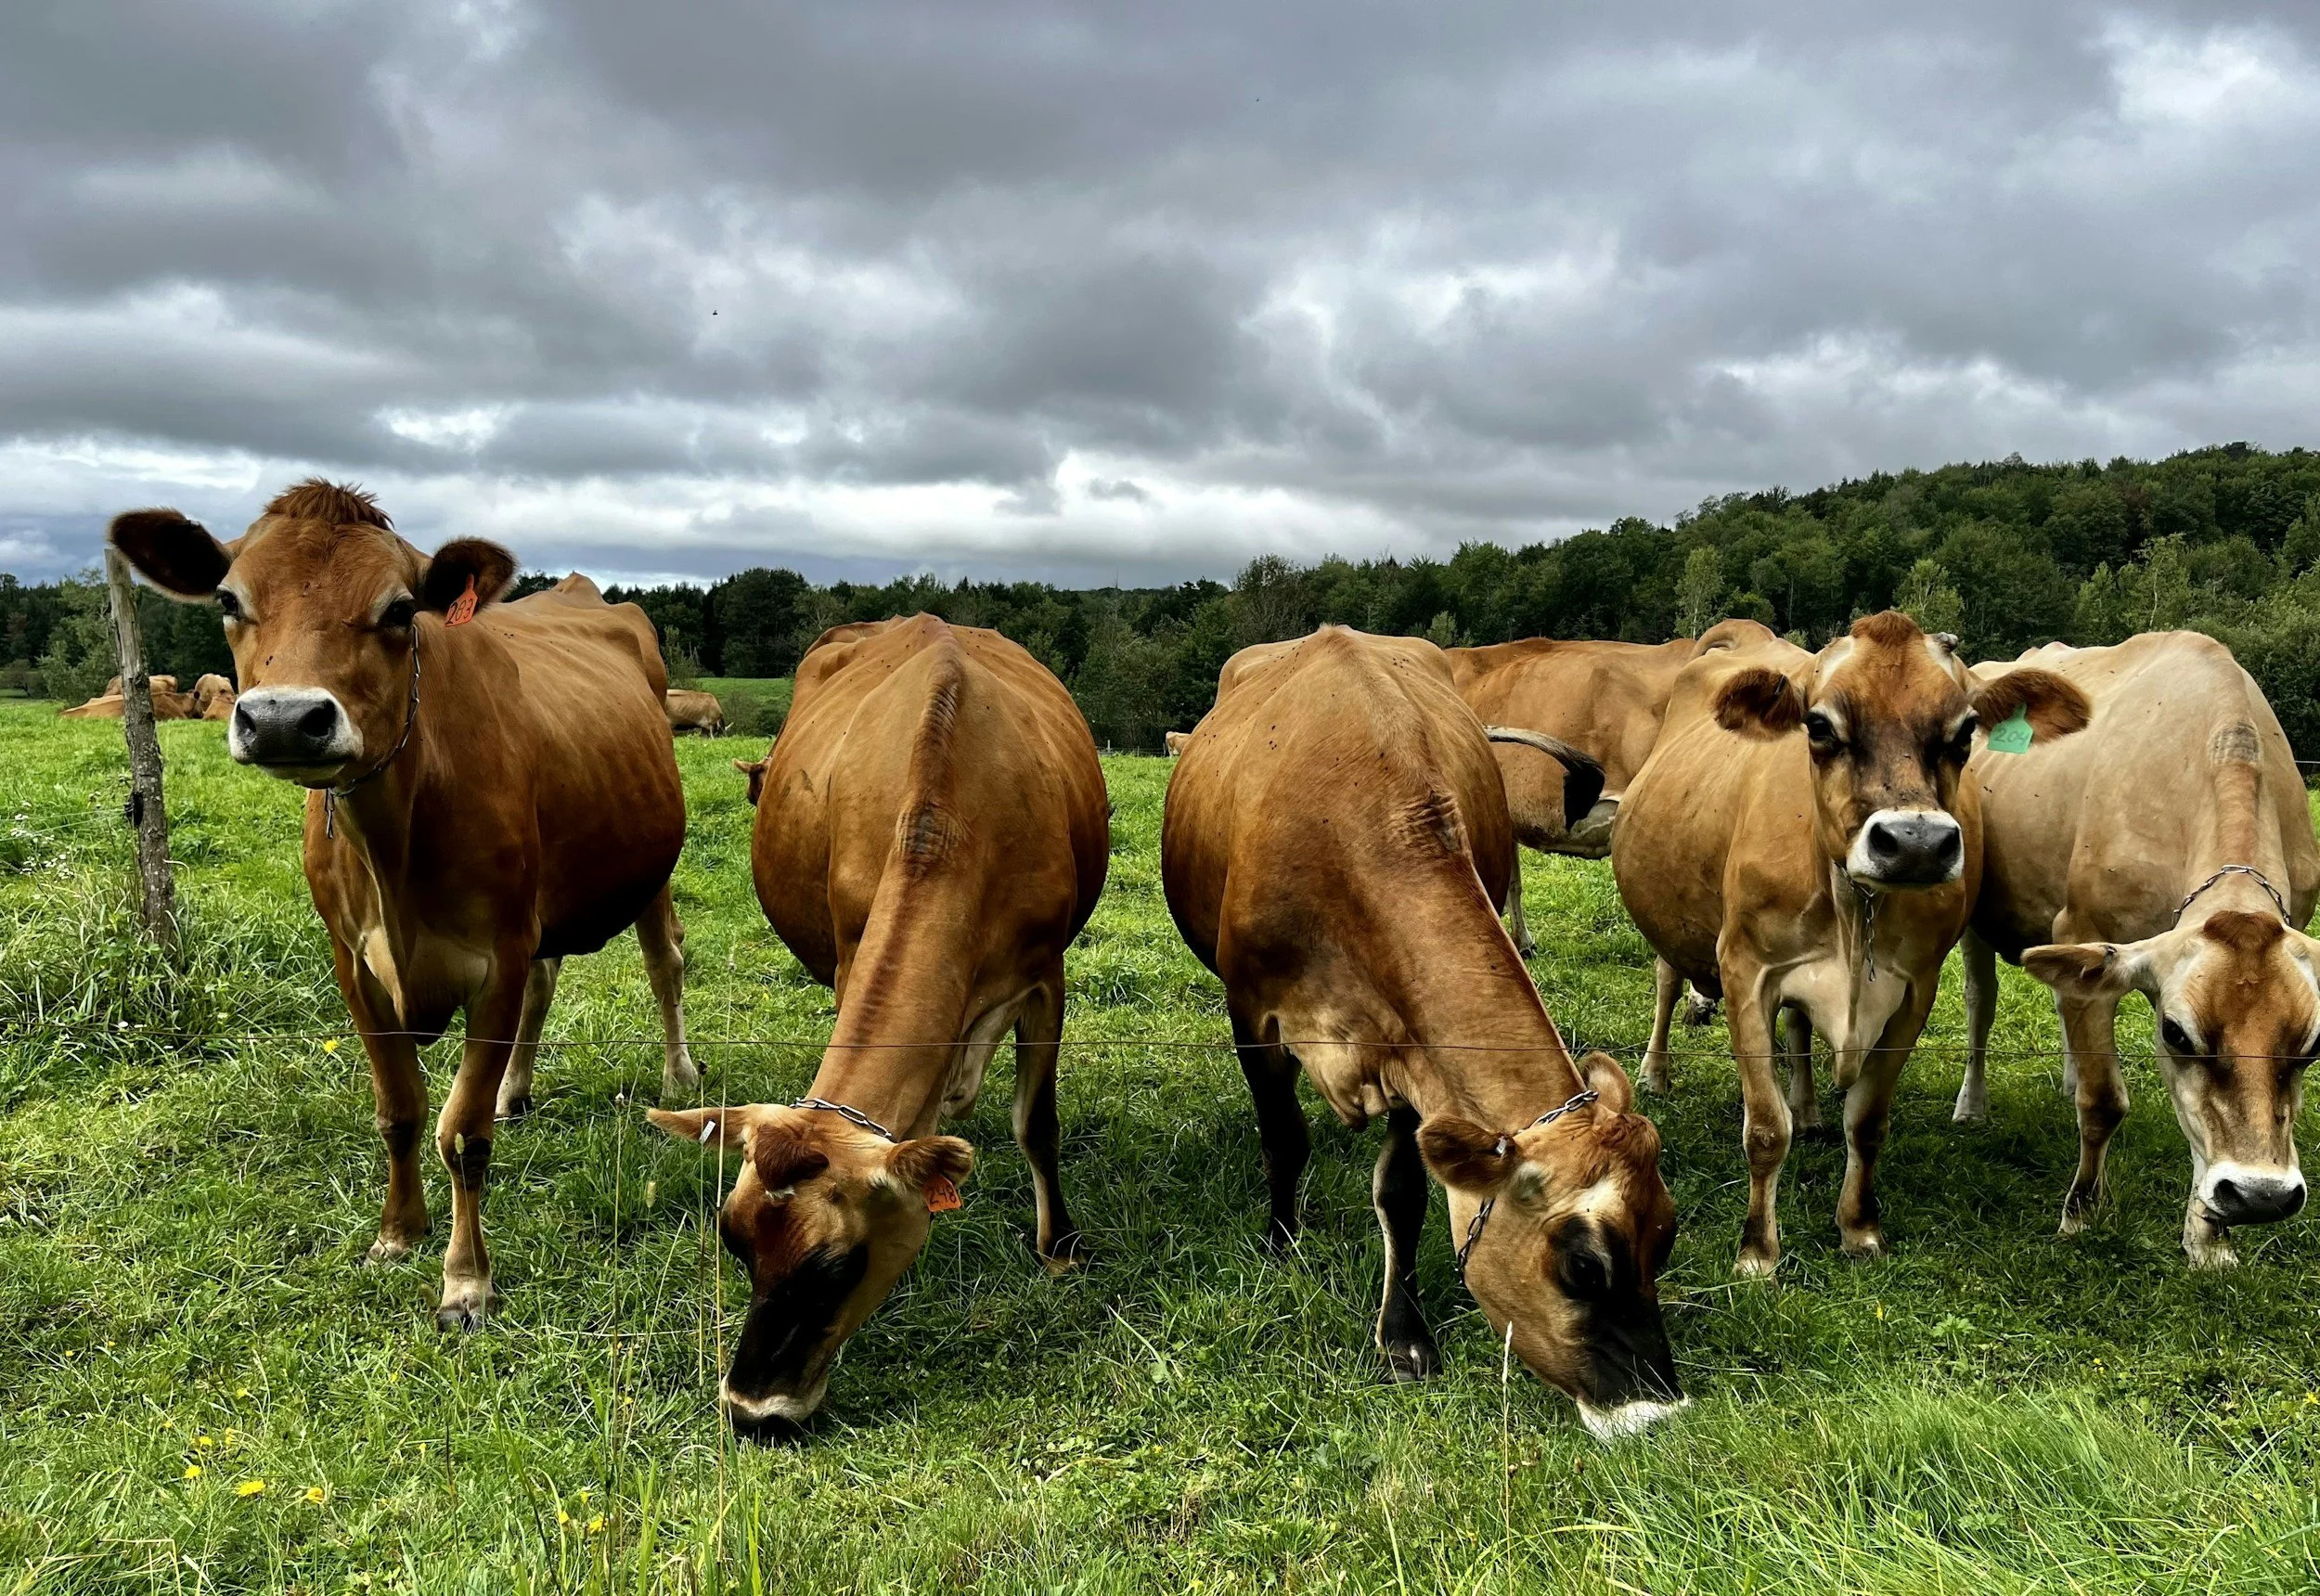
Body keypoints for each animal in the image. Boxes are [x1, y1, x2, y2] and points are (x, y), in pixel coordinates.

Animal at [109, 478, 696, 1331]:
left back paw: (679, 1076)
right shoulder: (353, 963)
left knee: (664, 962)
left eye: (398, 609)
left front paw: (466, 1280)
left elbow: (464, 1133)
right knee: (548, 982)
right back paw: (518, 1090)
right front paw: (397, 1233)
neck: (396, 843)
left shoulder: (497, 956)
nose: (283, 719)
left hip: (649, 867)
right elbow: (400, 1110)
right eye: (227, 598)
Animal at [649, 614, 1108, 1437]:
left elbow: (1038, 1122)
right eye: (733, 1239)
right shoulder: (847, 955)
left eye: (836, 1266)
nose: (751, 1410)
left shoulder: (1047, 975)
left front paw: (1059, 1245)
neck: (951, 824)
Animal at [1161, 625, 1683, 1440]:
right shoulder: (1253, 1013)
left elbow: (1402, 1191)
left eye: (1667, 1234)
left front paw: (1403, 1334)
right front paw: (1282, 1241)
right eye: (1583, 1266)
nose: (1657, 1410)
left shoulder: (1416, 1060)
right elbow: (1284, 1139)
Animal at [1613, 612, 2090, 1275]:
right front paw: (1757, 1252)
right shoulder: (1744, 970)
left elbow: (1866, 1121)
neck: (1852, 908)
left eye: (1966, 729)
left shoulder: (1915, 989)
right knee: (1665, 981)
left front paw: (1859, 1228)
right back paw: (1656, 1072)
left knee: (1798, 1031)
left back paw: (1810, 1109)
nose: (1915, 843)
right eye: (1819, 726)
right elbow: (1765, 1127)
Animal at [1953, 632, 2319, 1265]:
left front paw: (2208, 1239)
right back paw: (1972, 1105)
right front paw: (2080, 1213)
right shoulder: (2081, 926)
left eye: (2315, 1043)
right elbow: (2103, 1101)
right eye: (2177, 1033)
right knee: (1982, 1001)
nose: (2262, 1196)